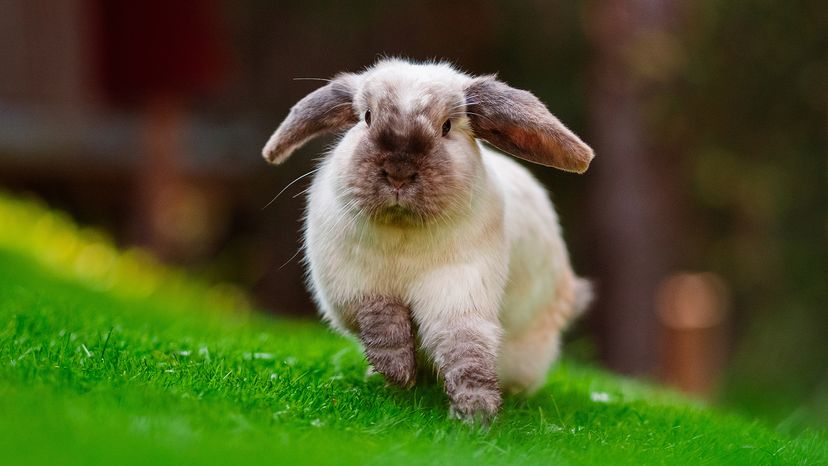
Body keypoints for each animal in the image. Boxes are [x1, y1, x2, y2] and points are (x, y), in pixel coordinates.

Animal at [262, 58, 594, 423]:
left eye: (447, 126)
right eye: (367, 117)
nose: (398, 172)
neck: (403, 233)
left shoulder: (458, 294)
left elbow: (465, 348)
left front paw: (475, 412)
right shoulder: (360, 288)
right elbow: (382, 324)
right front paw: (397, 373)